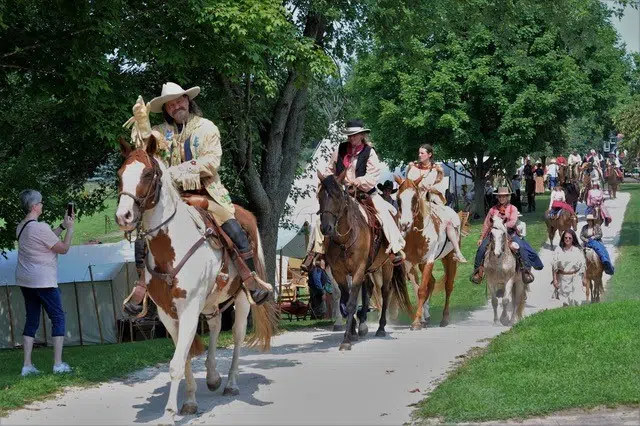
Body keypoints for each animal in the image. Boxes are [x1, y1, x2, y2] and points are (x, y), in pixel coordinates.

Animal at [115, 138, 276, 424]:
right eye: (120, 175)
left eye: (147, 173)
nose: (124, 216)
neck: (171, 247)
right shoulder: (168, 314)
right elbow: (186, 356)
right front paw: (189, 402)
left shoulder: (189, 309)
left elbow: (177, 363)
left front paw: (169, 413)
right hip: (211, 301)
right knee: (215, 325)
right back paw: (212, 377)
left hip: (242, 298)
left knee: (237, 335)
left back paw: (230, 383)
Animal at [316, 171, 416, 352]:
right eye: (319, 196)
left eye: (337, 196)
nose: (326, 228)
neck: (345, 240)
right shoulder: (338, 273)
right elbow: (345, 300)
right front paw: (352, 331)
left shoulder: (358, 270)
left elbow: (351, 303)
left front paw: (346, 340)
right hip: (370, 270)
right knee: (368, 289)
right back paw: (362, 326)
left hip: (386, 267)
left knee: (385, 291)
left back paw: (381, 328)